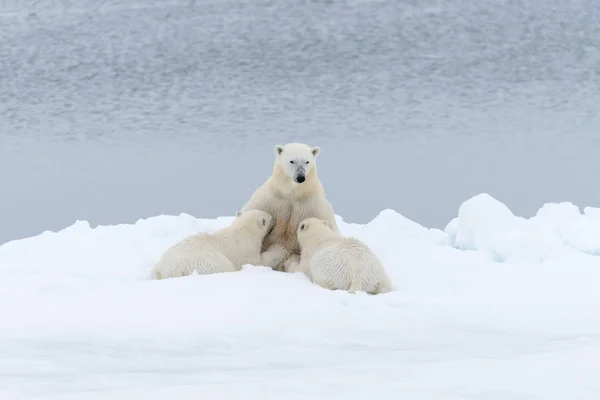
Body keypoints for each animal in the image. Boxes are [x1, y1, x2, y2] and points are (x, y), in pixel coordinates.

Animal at [152, 211, 288, 280]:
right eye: (270, 217)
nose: (275, 219)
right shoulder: (246, 249)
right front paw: (279, 248)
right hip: (206, 262)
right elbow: (258, 262)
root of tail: (169, 270)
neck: (244, 231)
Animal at [241, 141, 340, 272]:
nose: (300, 177)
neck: (293, 193)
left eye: (307, 161)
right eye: (292, 161)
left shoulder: (314, 205)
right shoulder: (271, 198)